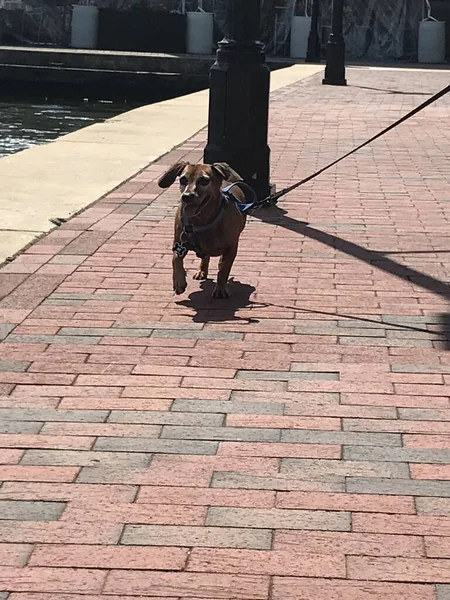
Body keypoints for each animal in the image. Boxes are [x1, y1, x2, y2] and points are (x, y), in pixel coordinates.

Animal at [158, 161, 251, 298]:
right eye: (183, 179)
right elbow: (175, 259)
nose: (186, 196)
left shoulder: (231, 247)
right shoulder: (179, 244)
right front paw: (179, 282)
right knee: (205, 256)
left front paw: (220, 288)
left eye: (204, 180)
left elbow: (224, 270)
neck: (201, 221)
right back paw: (201, 270)